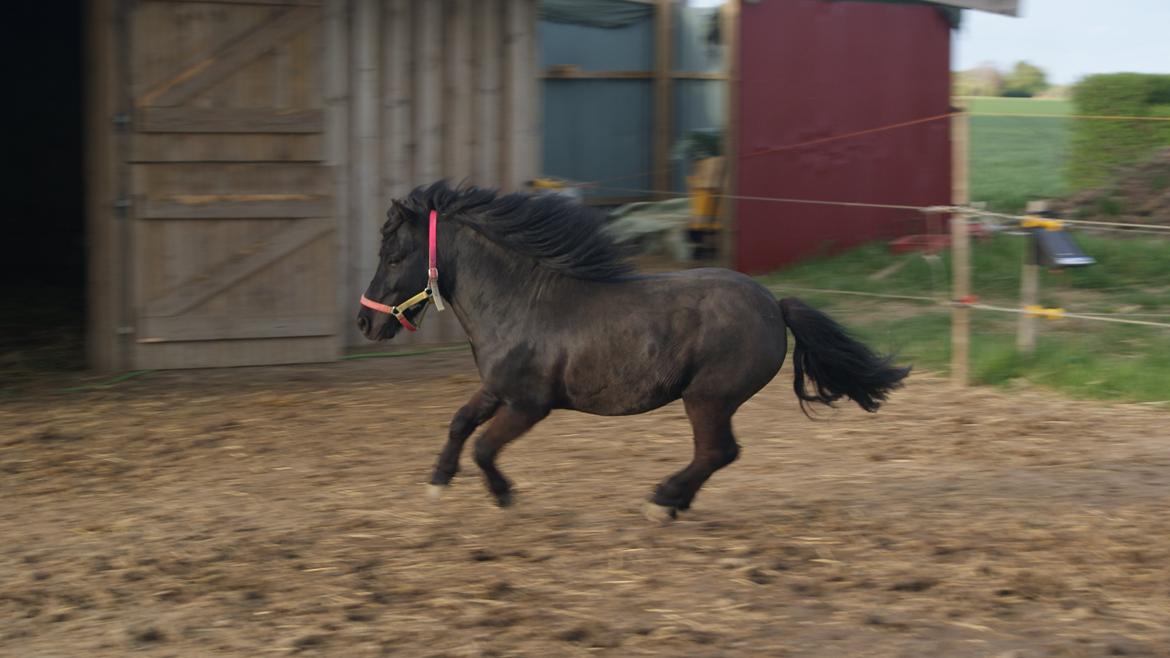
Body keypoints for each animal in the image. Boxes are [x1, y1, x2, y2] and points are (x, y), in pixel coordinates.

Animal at [358, 181, 912, 519]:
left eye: (394, 255)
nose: (366, 322)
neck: (518, 303)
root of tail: (775, 305)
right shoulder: (497, 389)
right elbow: (459, 424)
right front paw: (437, 481)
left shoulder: (529, 405)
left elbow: (484, 447)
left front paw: (504, 495)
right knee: (718, 454)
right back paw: (674, 501)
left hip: (707, 398)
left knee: (717, 451)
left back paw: (662, 501)